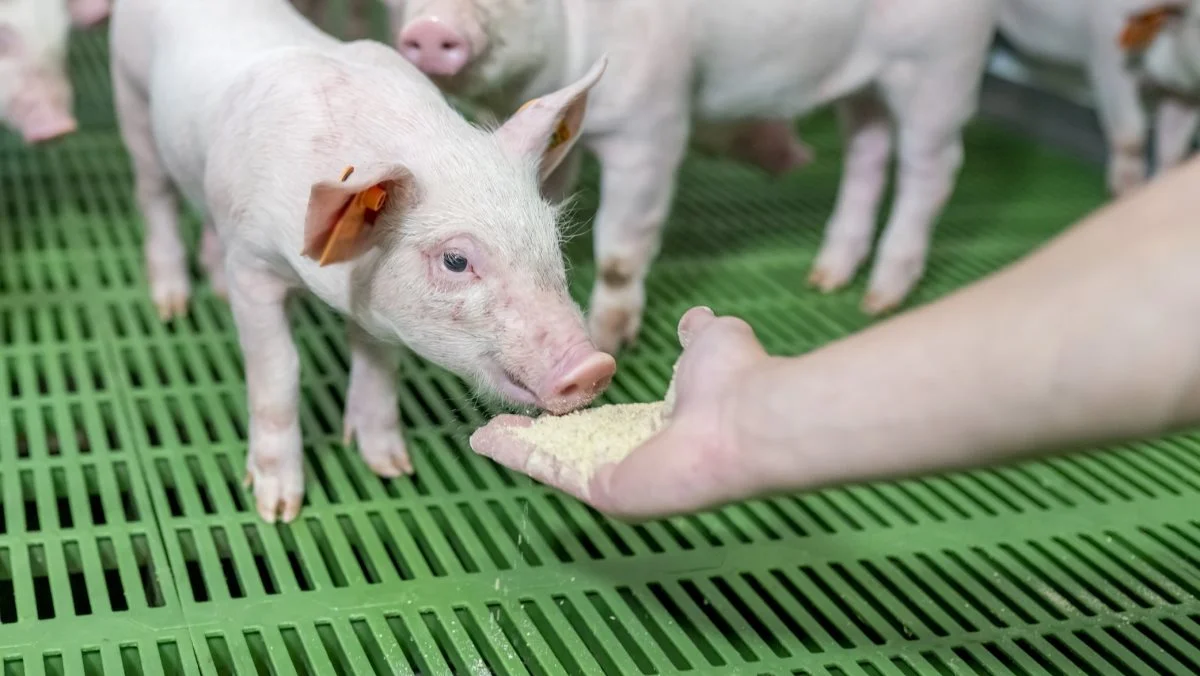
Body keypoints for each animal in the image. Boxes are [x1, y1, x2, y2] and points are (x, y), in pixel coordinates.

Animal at [110, 0, 619, 523]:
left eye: (551, 237)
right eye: (456, 260)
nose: (595, 366)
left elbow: (378, 363)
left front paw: (391, 468)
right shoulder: (252, 265)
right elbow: (279, 371)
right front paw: (278, 509)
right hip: (130, 96)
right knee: (155, 194)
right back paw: (172, 304)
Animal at [388, 0, 998, 353]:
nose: (431, 29)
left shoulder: (651, 127)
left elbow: (620, 249)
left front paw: (609, 340)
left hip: (939, 67)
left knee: (933, 165)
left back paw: (878, 301)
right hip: (864, 90)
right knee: (868, 150)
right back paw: (825, 279)